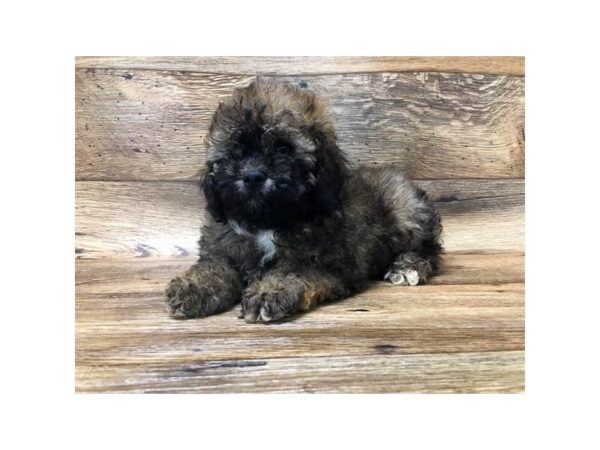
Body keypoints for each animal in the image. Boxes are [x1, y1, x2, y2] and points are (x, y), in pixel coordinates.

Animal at [166, 79, 442, 322]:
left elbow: (294, 270)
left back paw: (408, 266)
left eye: (283, 148)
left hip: (405, 208)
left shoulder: (331, 265)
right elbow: (213, 268)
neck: (268, 221)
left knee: (429, 247)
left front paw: (269, 291)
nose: (253, 176)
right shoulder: (223, 249)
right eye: (235, 151)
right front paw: (193, 288)